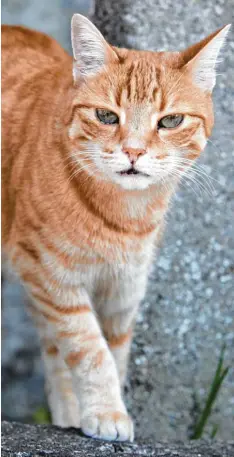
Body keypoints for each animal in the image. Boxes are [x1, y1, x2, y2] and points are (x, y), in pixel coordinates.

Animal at [0, 14, 229, 440]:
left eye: (171, 121)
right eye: (106, 116)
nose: (134, 151)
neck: (124, 217)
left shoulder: (123, 289)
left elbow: (113, 351)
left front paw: (91, 410)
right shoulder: (51, 276)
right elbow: (91, 350)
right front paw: (107, 412)